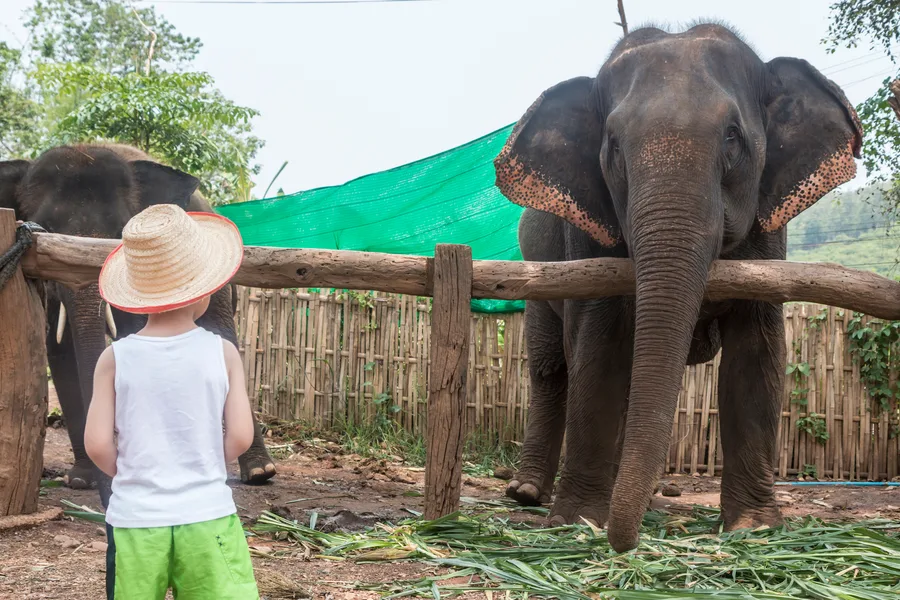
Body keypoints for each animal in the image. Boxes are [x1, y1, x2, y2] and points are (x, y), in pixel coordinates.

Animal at [496, 24, 860, 552]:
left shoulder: (770, 235)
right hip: (536, 266)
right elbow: (597, 349)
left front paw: (754, 529)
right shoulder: (586, 237)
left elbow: (756, 355)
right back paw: (527, 494)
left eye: (732, 137)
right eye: (613, 145)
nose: (624, 544)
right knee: (550, 367)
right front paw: (577, 521)